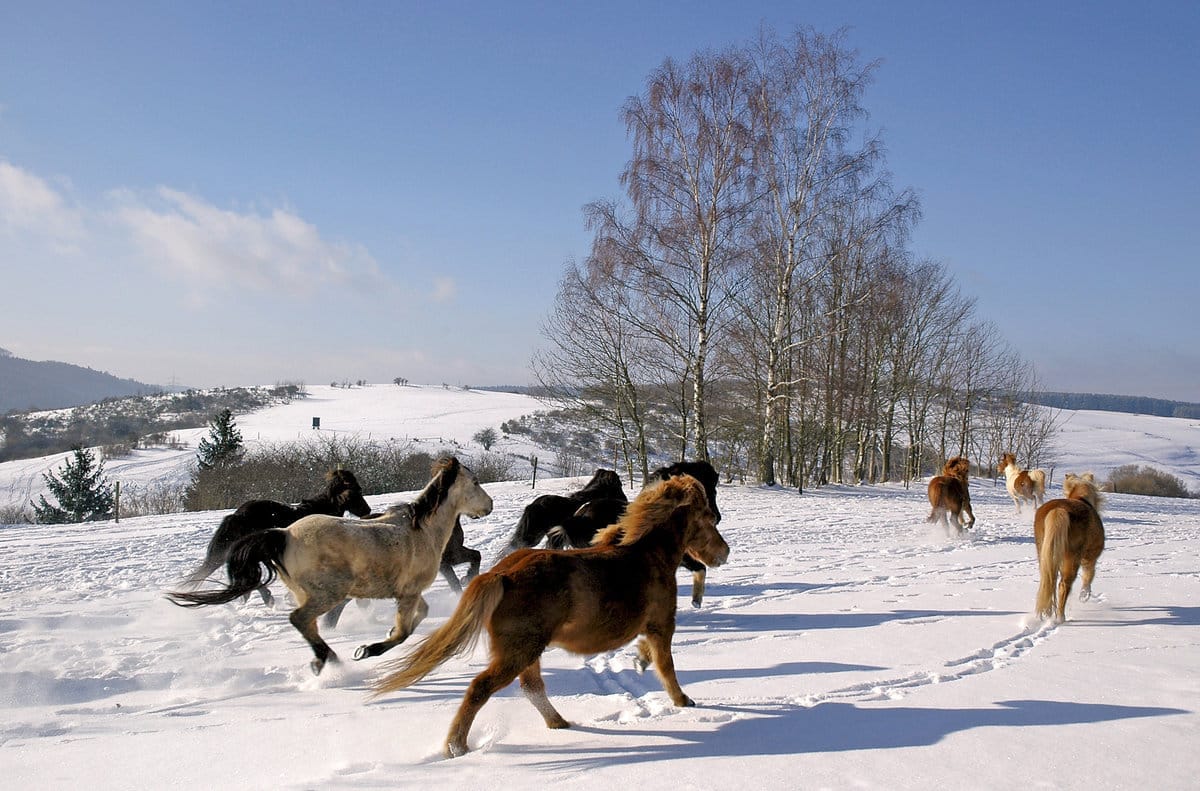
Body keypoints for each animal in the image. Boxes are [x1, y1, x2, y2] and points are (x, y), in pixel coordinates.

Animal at [543, 460, 724, 607]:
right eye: (710, 491)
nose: (717, 518)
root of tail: (579, 517)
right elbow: (701, 568)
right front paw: (696, 601)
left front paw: (696, 601)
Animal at [1034, 475, 1105, 622]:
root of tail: (1059, 510)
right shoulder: (1090, 558)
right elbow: (1089, 576)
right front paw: (1084, 596)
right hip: (1072, 559)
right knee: (1063, 585)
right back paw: (1061, 618)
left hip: (1045, 555)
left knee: (1048, 582)